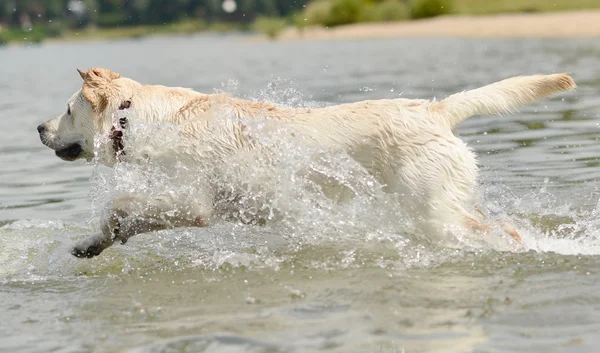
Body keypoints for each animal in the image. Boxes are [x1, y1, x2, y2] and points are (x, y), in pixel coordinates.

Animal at [37, 68, 576, 256]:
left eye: (66, 109)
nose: (39, 128)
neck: (136, 119)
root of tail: (435, 109)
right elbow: (121, 219)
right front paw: (91, 245)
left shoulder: (190, 201)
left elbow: (120, 206)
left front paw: (101, 235)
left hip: (435, 211)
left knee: (502, 232)